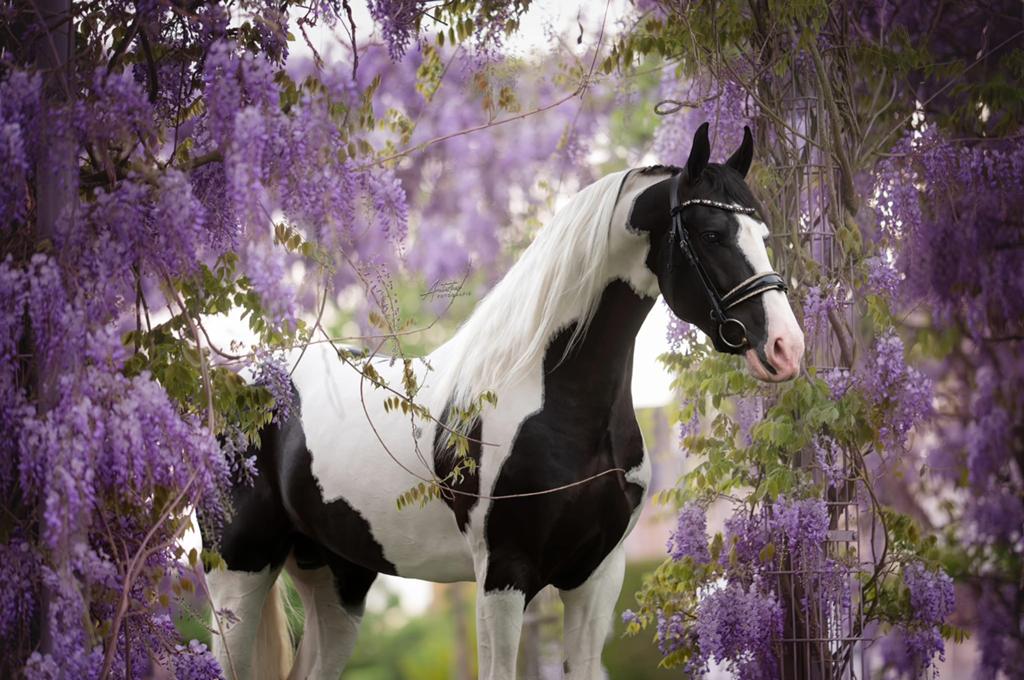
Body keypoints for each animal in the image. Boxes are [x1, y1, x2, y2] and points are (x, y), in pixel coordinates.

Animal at [201, 121, 806, 680]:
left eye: (761, 231)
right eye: (711, 233)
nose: (785, 347)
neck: (554, 404)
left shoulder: (596, 575)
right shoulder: (503, 575)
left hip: (336, 576)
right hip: (238, 570)